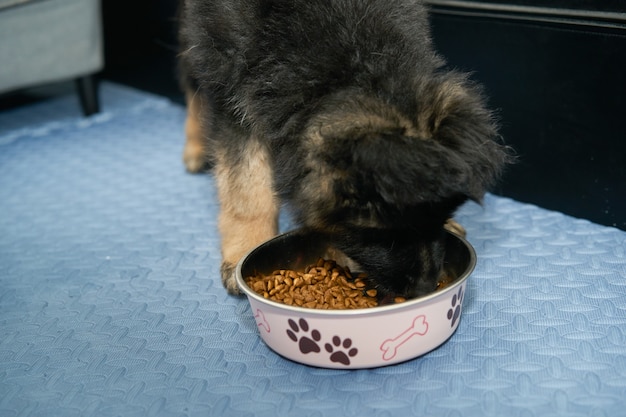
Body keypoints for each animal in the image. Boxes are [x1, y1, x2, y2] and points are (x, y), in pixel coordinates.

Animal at [176, 0, 508, 298]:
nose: (425, 289)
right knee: (189, 70)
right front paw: (246, 248)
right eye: (381, 233)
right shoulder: (230, 86)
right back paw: (195, 147)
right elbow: (246, 188)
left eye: (440, 216)